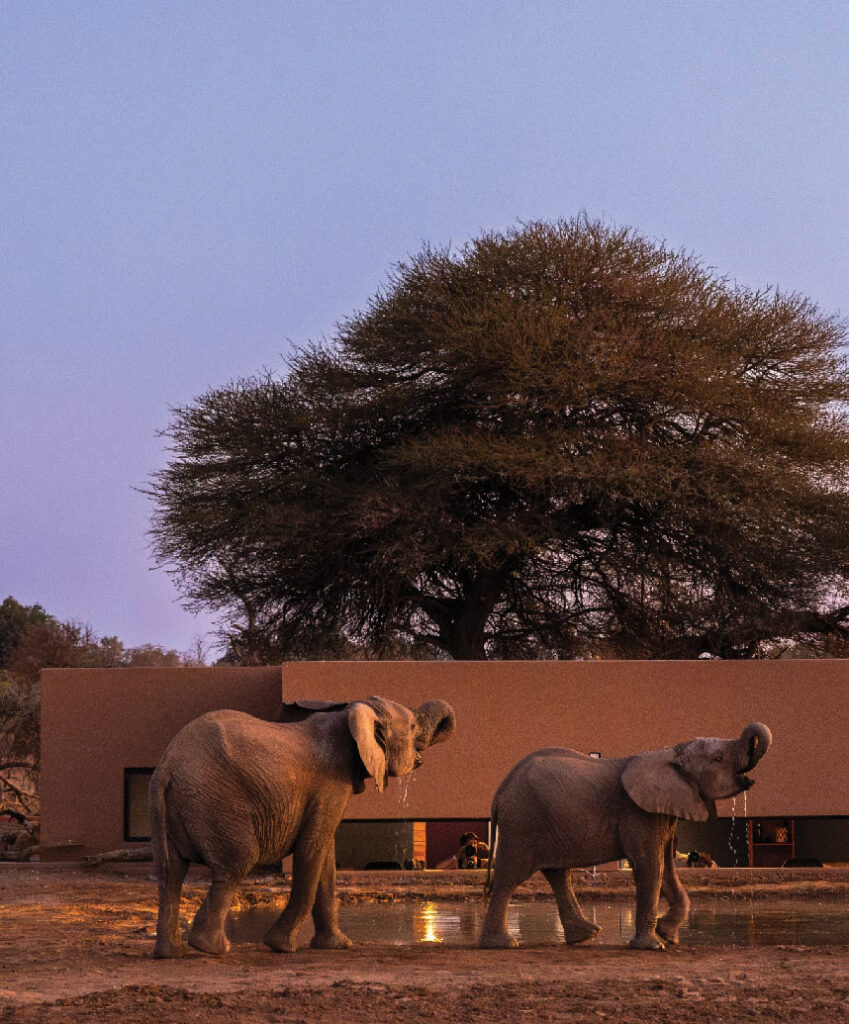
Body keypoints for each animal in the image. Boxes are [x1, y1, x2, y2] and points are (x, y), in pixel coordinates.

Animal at [149, 695, 455, 958]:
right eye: (413, 727)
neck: (350, 714)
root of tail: (167, 765)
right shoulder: (332, 782)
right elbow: (312, 849)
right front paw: (281, 946)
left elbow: (326, 856)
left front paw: (338, 946)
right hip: (218, 802)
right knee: (237, 863)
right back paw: (212, 948)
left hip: (174, 805)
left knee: (170, 872)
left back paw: (172, 953)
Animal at [479, 722, 772, 951]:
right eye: (718, 758)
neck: (671, 752)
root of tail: (499, 792)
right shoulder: (638, 812)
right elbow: (651, 866)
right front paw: (654, 946)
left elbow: (666, 867)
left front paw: (668, 936)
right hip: (522, 822)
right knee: (510, 877)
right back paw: (503, 944)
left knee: (558, 874)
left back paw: (585, 935)